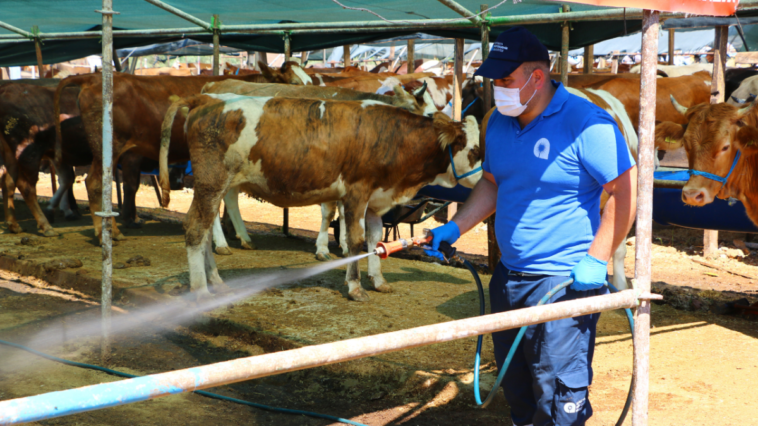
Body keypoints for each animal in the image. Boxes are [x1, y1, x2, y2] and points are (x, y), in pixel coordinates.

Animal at [158, 94, 484, 300]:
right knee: (195, 229)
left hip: (213, 187)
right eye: (475, 150)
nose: (488, 177)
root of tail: (208, 100)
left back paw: (215, 282)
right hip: (211, 182)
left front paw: (378, 281)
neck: (393, 136)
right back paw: (201, 290)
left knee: (204, 232)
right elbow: (355, 241)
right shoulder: (356, 192)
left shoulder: (376, 200)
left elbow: (375, 240)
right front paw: (355, 288)